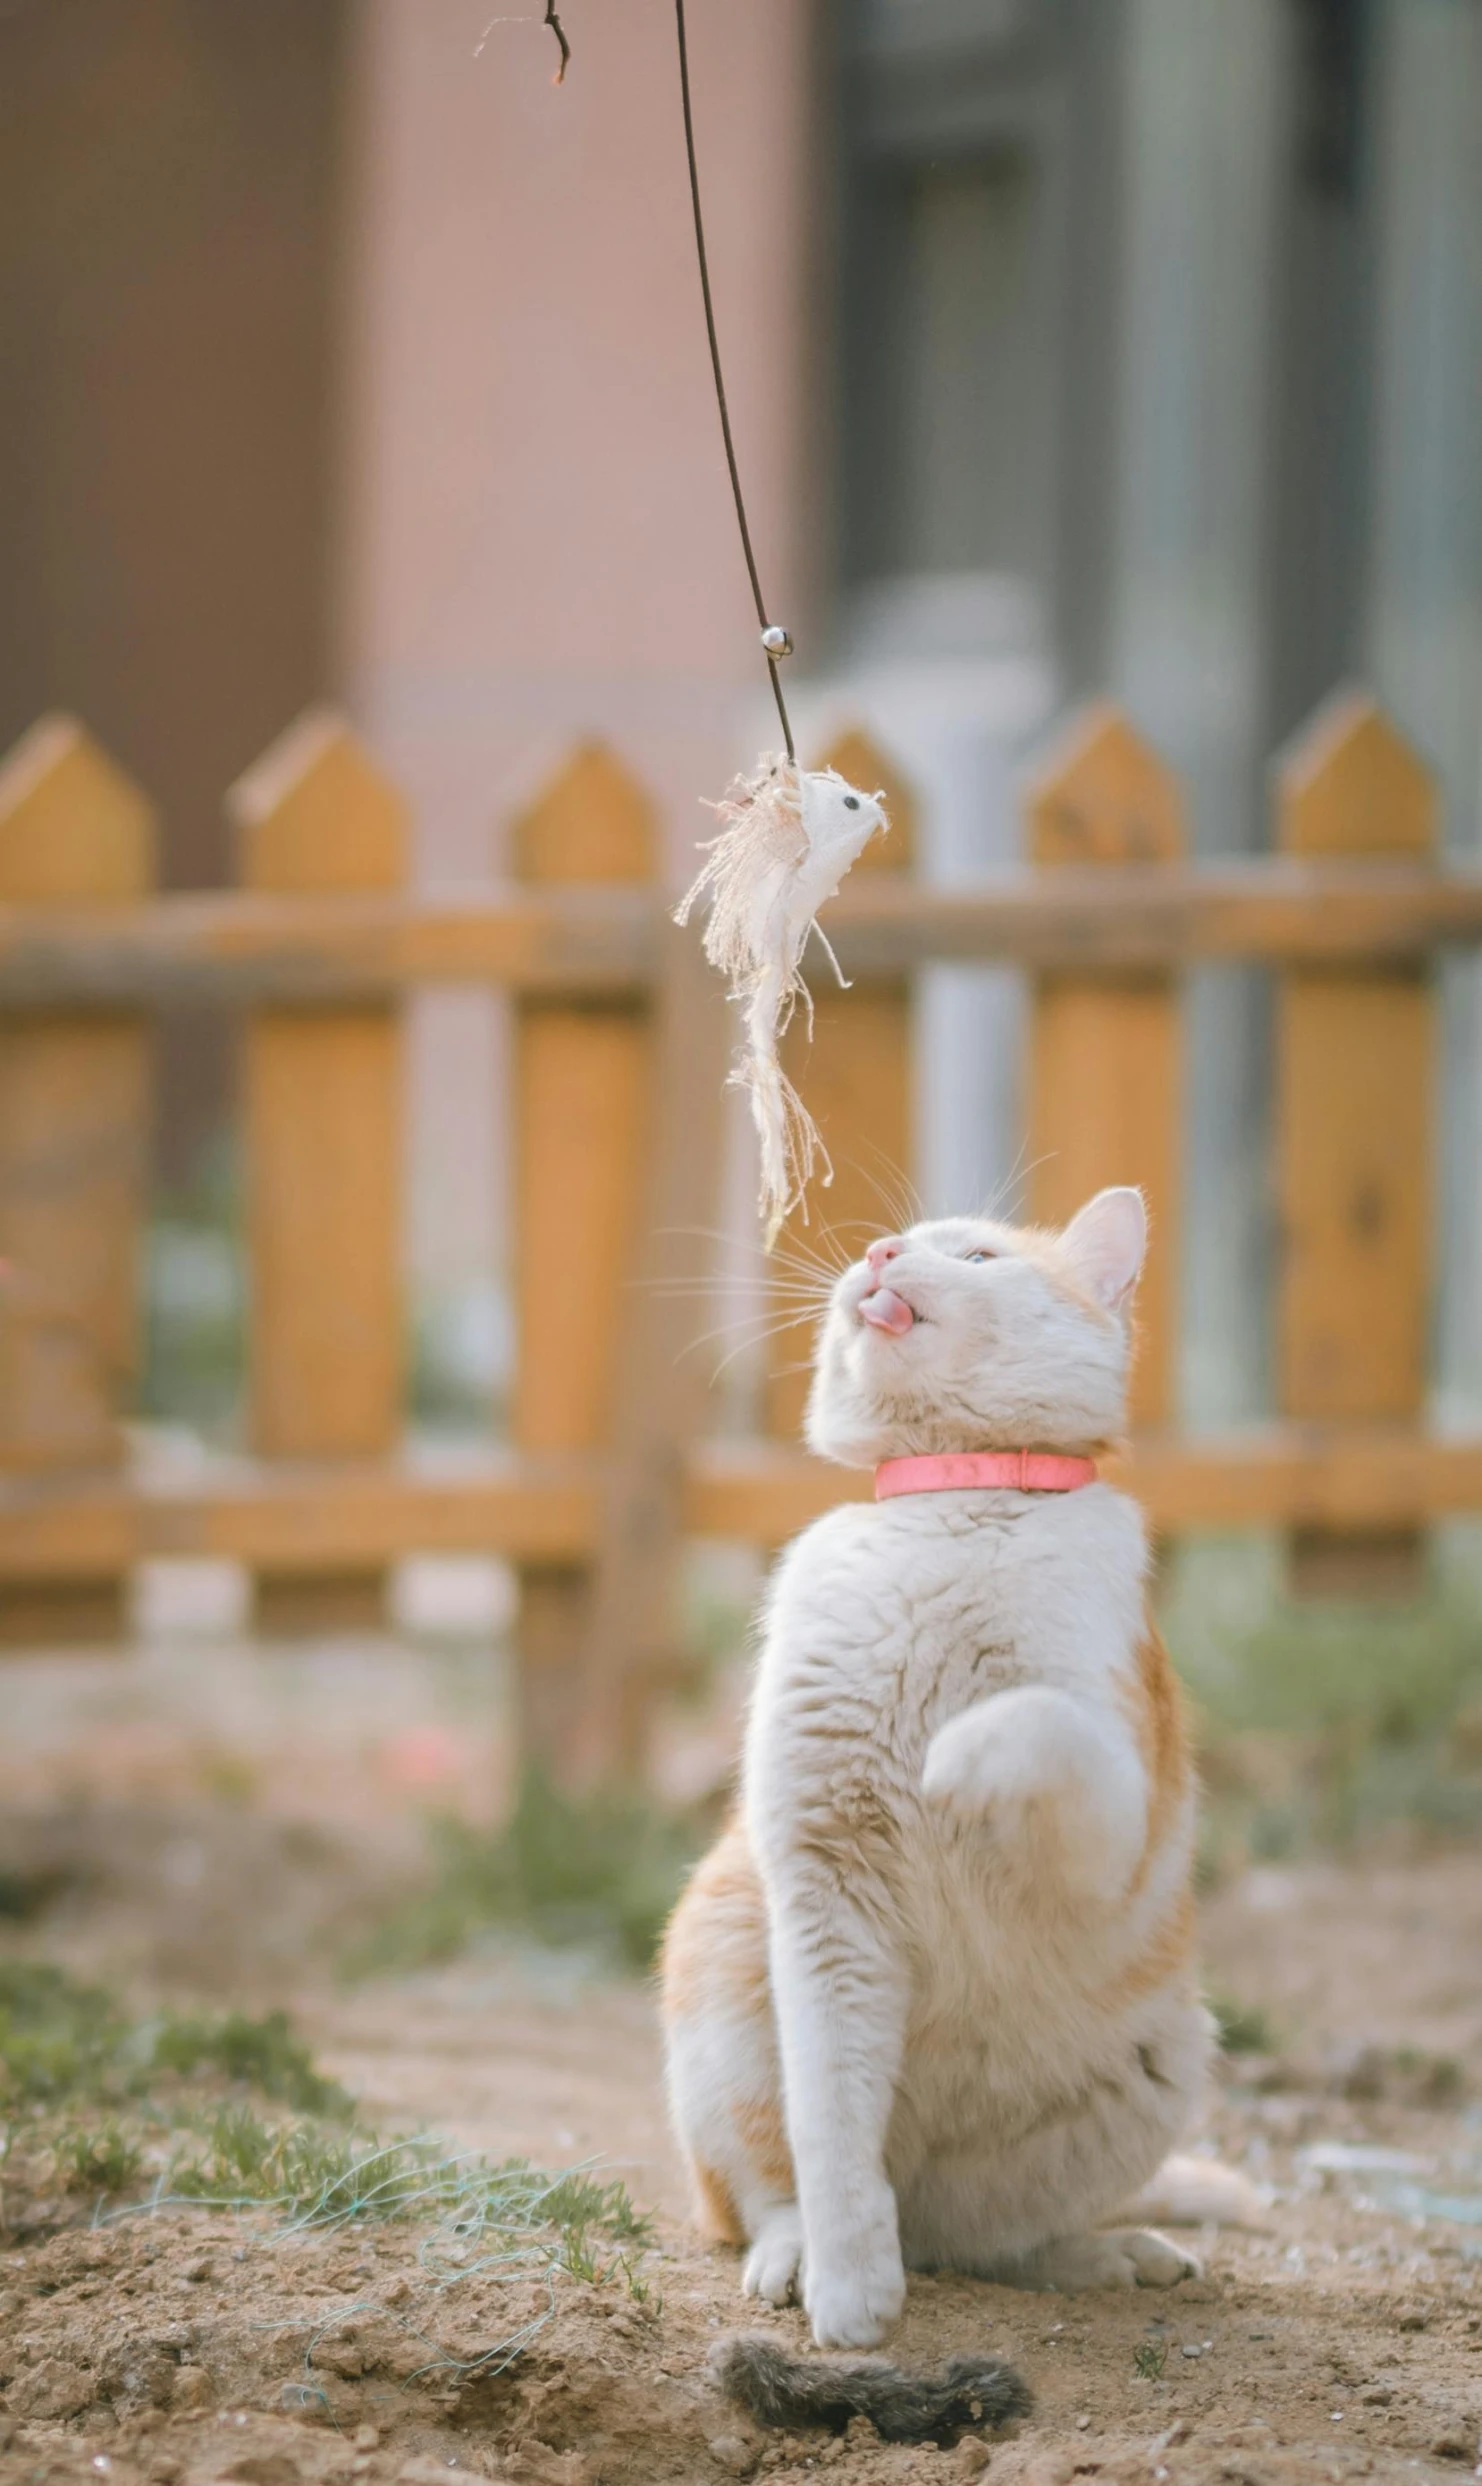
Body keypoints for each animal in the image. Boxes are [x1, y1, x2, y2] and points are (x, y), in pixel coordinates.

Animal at [661, 1183, 1248, 2346]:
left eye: (976, 1255)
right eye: (885, 1244)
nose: (882, 1253)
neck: (949, 1505)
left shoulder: (1119, 1816)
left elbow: (1029, 1716)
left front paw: (953, 1755)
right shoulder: (826, 1893)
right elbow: (833, 2131)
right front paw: (850, 2297)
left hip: (1167, 2062)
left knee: (997, 2246)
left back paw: (1112, 2254)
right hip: (725, 1984)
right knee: (771, 2193)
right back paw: (799, 2256)